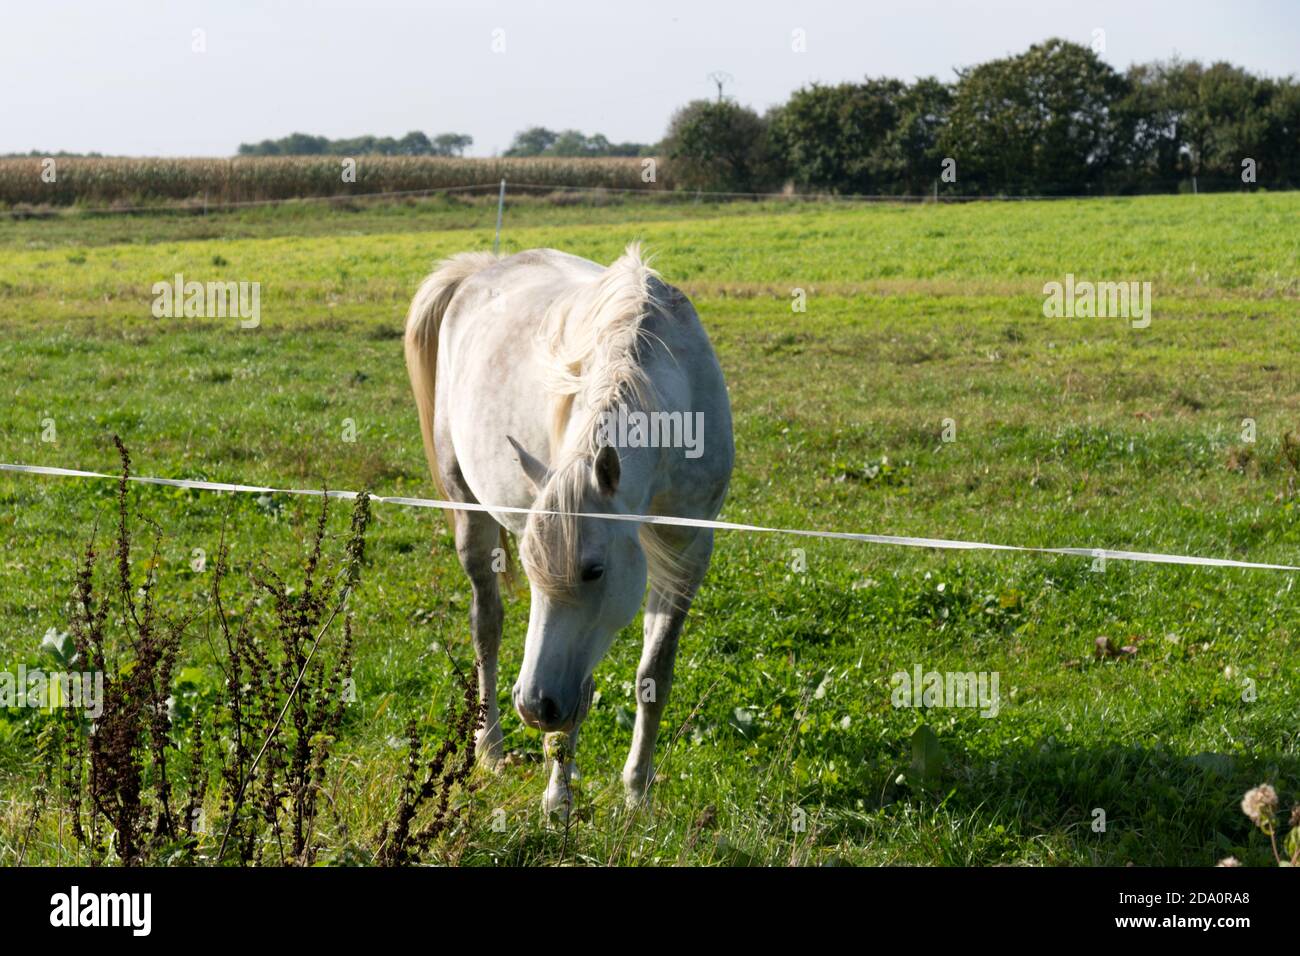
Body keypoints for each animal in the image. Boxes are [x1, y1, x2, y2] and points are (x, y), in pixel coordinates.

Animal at [404, 244, 734, 816]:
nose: (536, 705)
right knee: (486, 625)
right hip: (468, 512)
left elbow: (654, 672)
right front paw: (558, 797)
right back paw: (490, 746)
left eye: (594, 570)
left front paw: (637, 791)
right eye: (534, 570)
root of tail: (480, 269)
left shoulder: (687, 550)